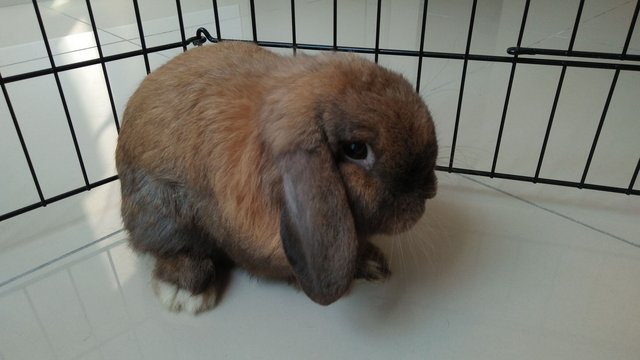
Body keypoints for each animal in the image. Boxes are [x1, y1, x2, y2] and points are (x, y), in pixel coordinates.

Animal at [115, 41, 438, 312]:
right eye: (356, 149)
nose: (429, 190)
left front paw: (373, 264)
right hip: (160, 210)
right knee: (170, 247)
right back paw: (186, 292)